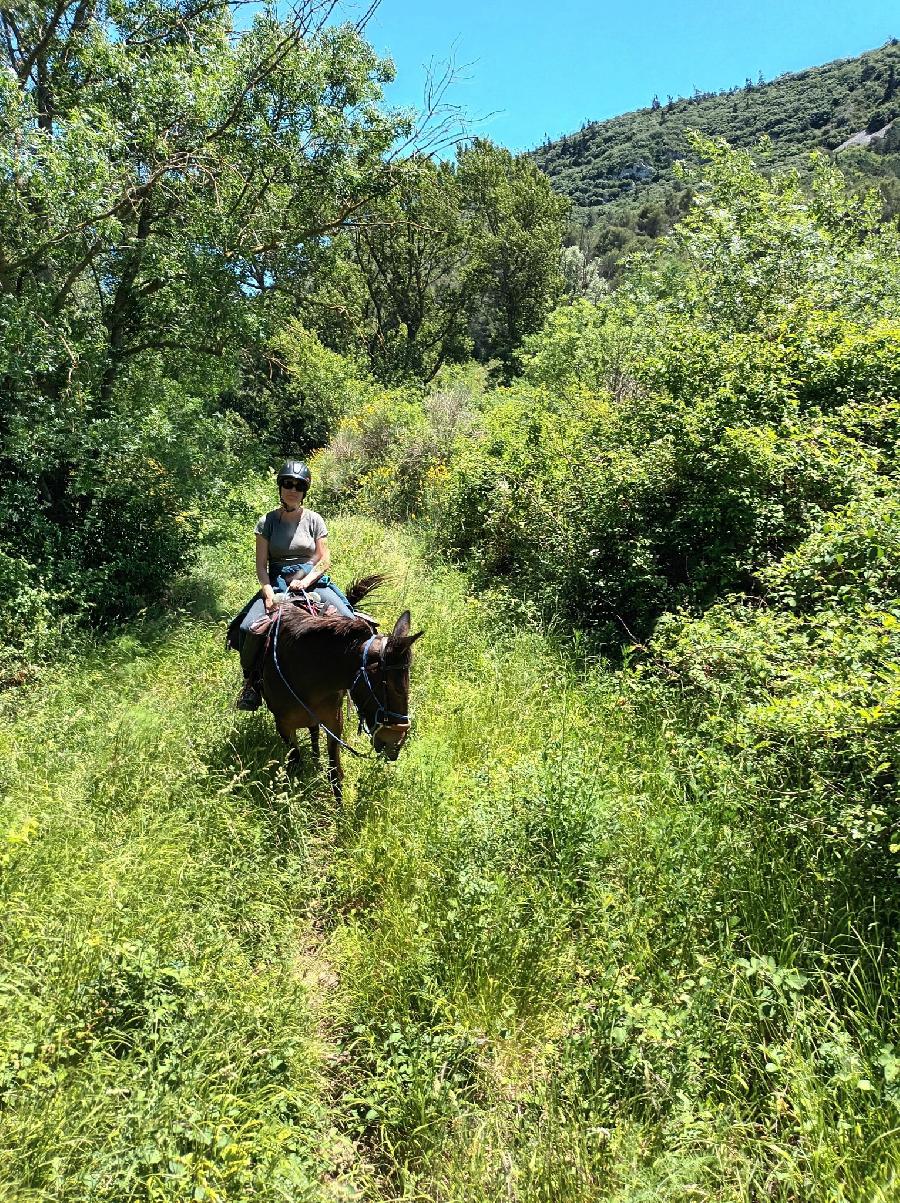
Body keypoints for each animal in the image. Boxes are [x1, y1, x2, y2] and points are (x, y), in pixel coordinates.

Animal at [258, 575, 423, 798]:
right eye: (394, 687)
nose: (396, 744)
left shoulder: (334, 721)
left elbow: (335, 773)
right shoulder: (283, 725)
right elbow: (295, 764)